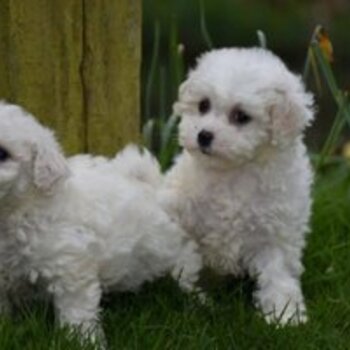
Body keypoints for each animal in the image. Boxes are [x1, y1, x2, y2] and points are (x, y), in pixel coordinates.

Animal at [0, 102, 202, 344]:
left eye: (2, 153)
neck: (18, 212)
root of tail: (152, 185)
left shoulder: (71, 268)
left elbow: (77, 313)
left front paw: (83, 341)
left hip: (168, 245)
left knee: (186, 262)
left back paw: (195, 298)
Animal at [161, 47, 314, 326]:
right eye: (203, 105)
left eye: (241, 117)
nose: (204, 135)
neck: (234, 172)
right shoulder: (181, 217)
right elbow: (184, 264)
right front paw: (195, 299)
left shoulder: (275, 233)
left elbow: (278, 274)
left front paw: (285, 315)